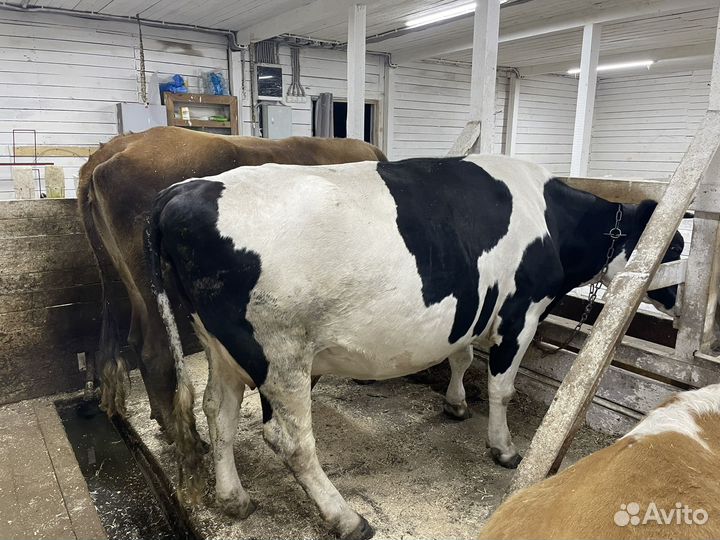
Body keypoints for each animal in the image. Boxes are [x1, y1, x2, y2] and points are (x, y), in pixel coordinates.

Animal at [77, 127, 387, 452]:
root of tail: (114, 148)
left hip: (126, 282)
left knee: (136, 340)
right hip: (152, 289)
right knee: (154, 352)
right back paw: (186, 439)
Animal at [146, 154, 684, 539]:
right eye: (676, 246)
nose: (677, 307)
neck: (548, 216)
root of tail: (181, 191)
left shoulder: (471, 311)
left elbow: (462, 355)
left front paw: (456, 404)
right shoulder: (521, 313)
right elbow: (502, 387)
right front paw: (504, 448)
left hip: (219, 345)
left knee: (217, 413)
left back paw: (233, 498)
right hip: (281, 352)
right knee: (289, 439)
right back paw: (346, 519)